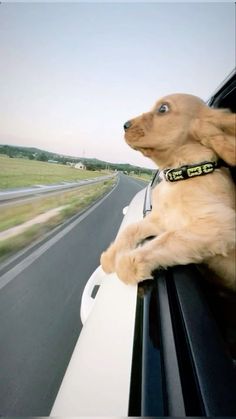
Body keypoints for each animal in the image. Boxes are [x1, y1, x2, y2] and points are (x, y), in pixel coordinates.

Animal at [101, 94, 236, 292]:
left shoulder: (221, 224)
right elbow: (130, 229)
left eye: (163, 109)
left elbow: (167, 239)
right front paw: (110, 257)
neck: (182, 176)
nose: (124, 125)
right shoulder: (160, 219)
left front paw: (127, 266)